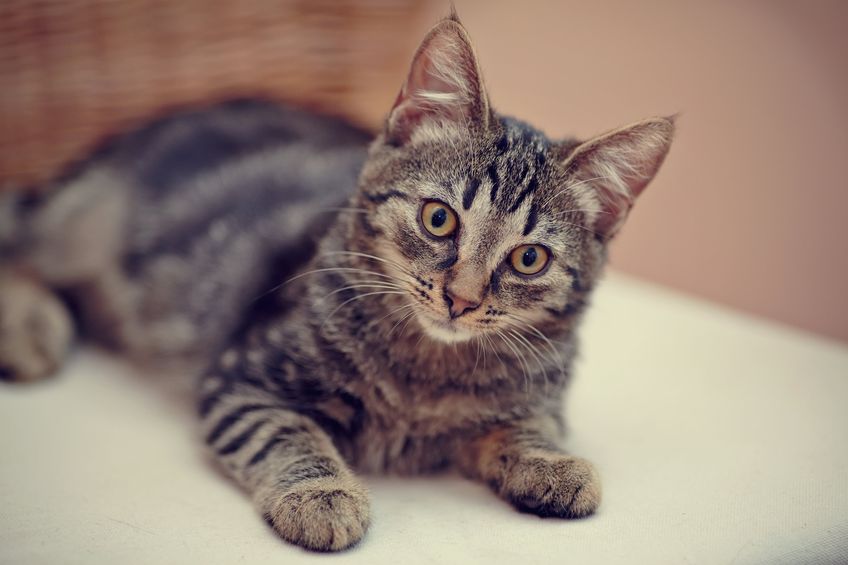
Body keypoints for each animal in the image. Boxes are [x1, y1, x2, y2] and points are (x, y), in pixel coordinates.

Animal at [0, 13, 676, 552]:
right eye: (439, 219)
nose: (460, 299)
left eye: (528, 259)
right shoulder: (242, 379)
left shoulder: (532, 399)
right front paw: (322, 496)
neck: (427, 373)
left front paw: (553, 464)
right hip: (81, 228)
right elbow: (287, 433)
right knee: (20, 249)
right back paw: (31, 333)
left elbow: (526, 425)